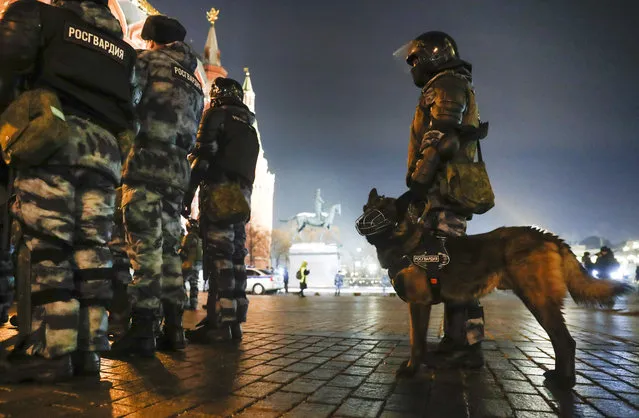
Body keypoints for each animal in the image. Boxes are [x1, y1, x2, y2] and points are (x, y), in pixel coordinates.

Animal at [358, 189, 632, 388]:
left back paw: (564, 381)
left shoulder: (419, 305)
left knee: (565, 341)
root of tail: (546, 235)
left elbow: (417, 343)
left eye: (384, 211)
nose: (361, 222)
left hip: (538, 299)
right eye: (366, 208)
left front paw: (411, 370)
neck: (409, 243)